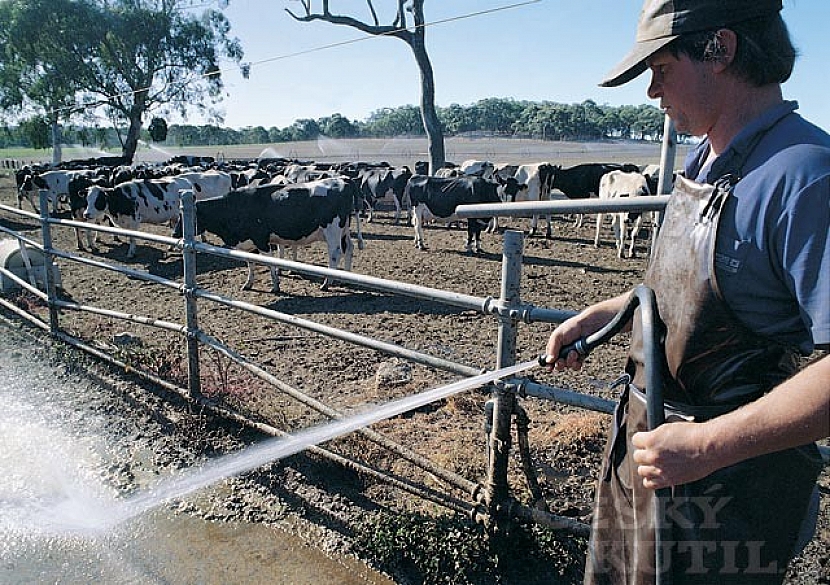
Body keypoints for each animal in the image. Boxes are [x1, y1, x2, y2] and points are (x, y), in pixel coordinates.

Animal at [172, 175, 360, 290]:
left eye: (184, 215)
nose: (174, 234)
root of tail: (343, 180)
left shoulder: (261, 240)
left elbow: (269, 262)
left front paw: (276, 285)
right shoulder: (247, 243)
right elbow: (250, 262)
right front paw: (248, 283)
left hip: (333, 230)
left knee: (335, 253)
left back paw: (327, 283)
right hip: (344, 230)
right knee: (348, 249)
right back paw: (346, 277)